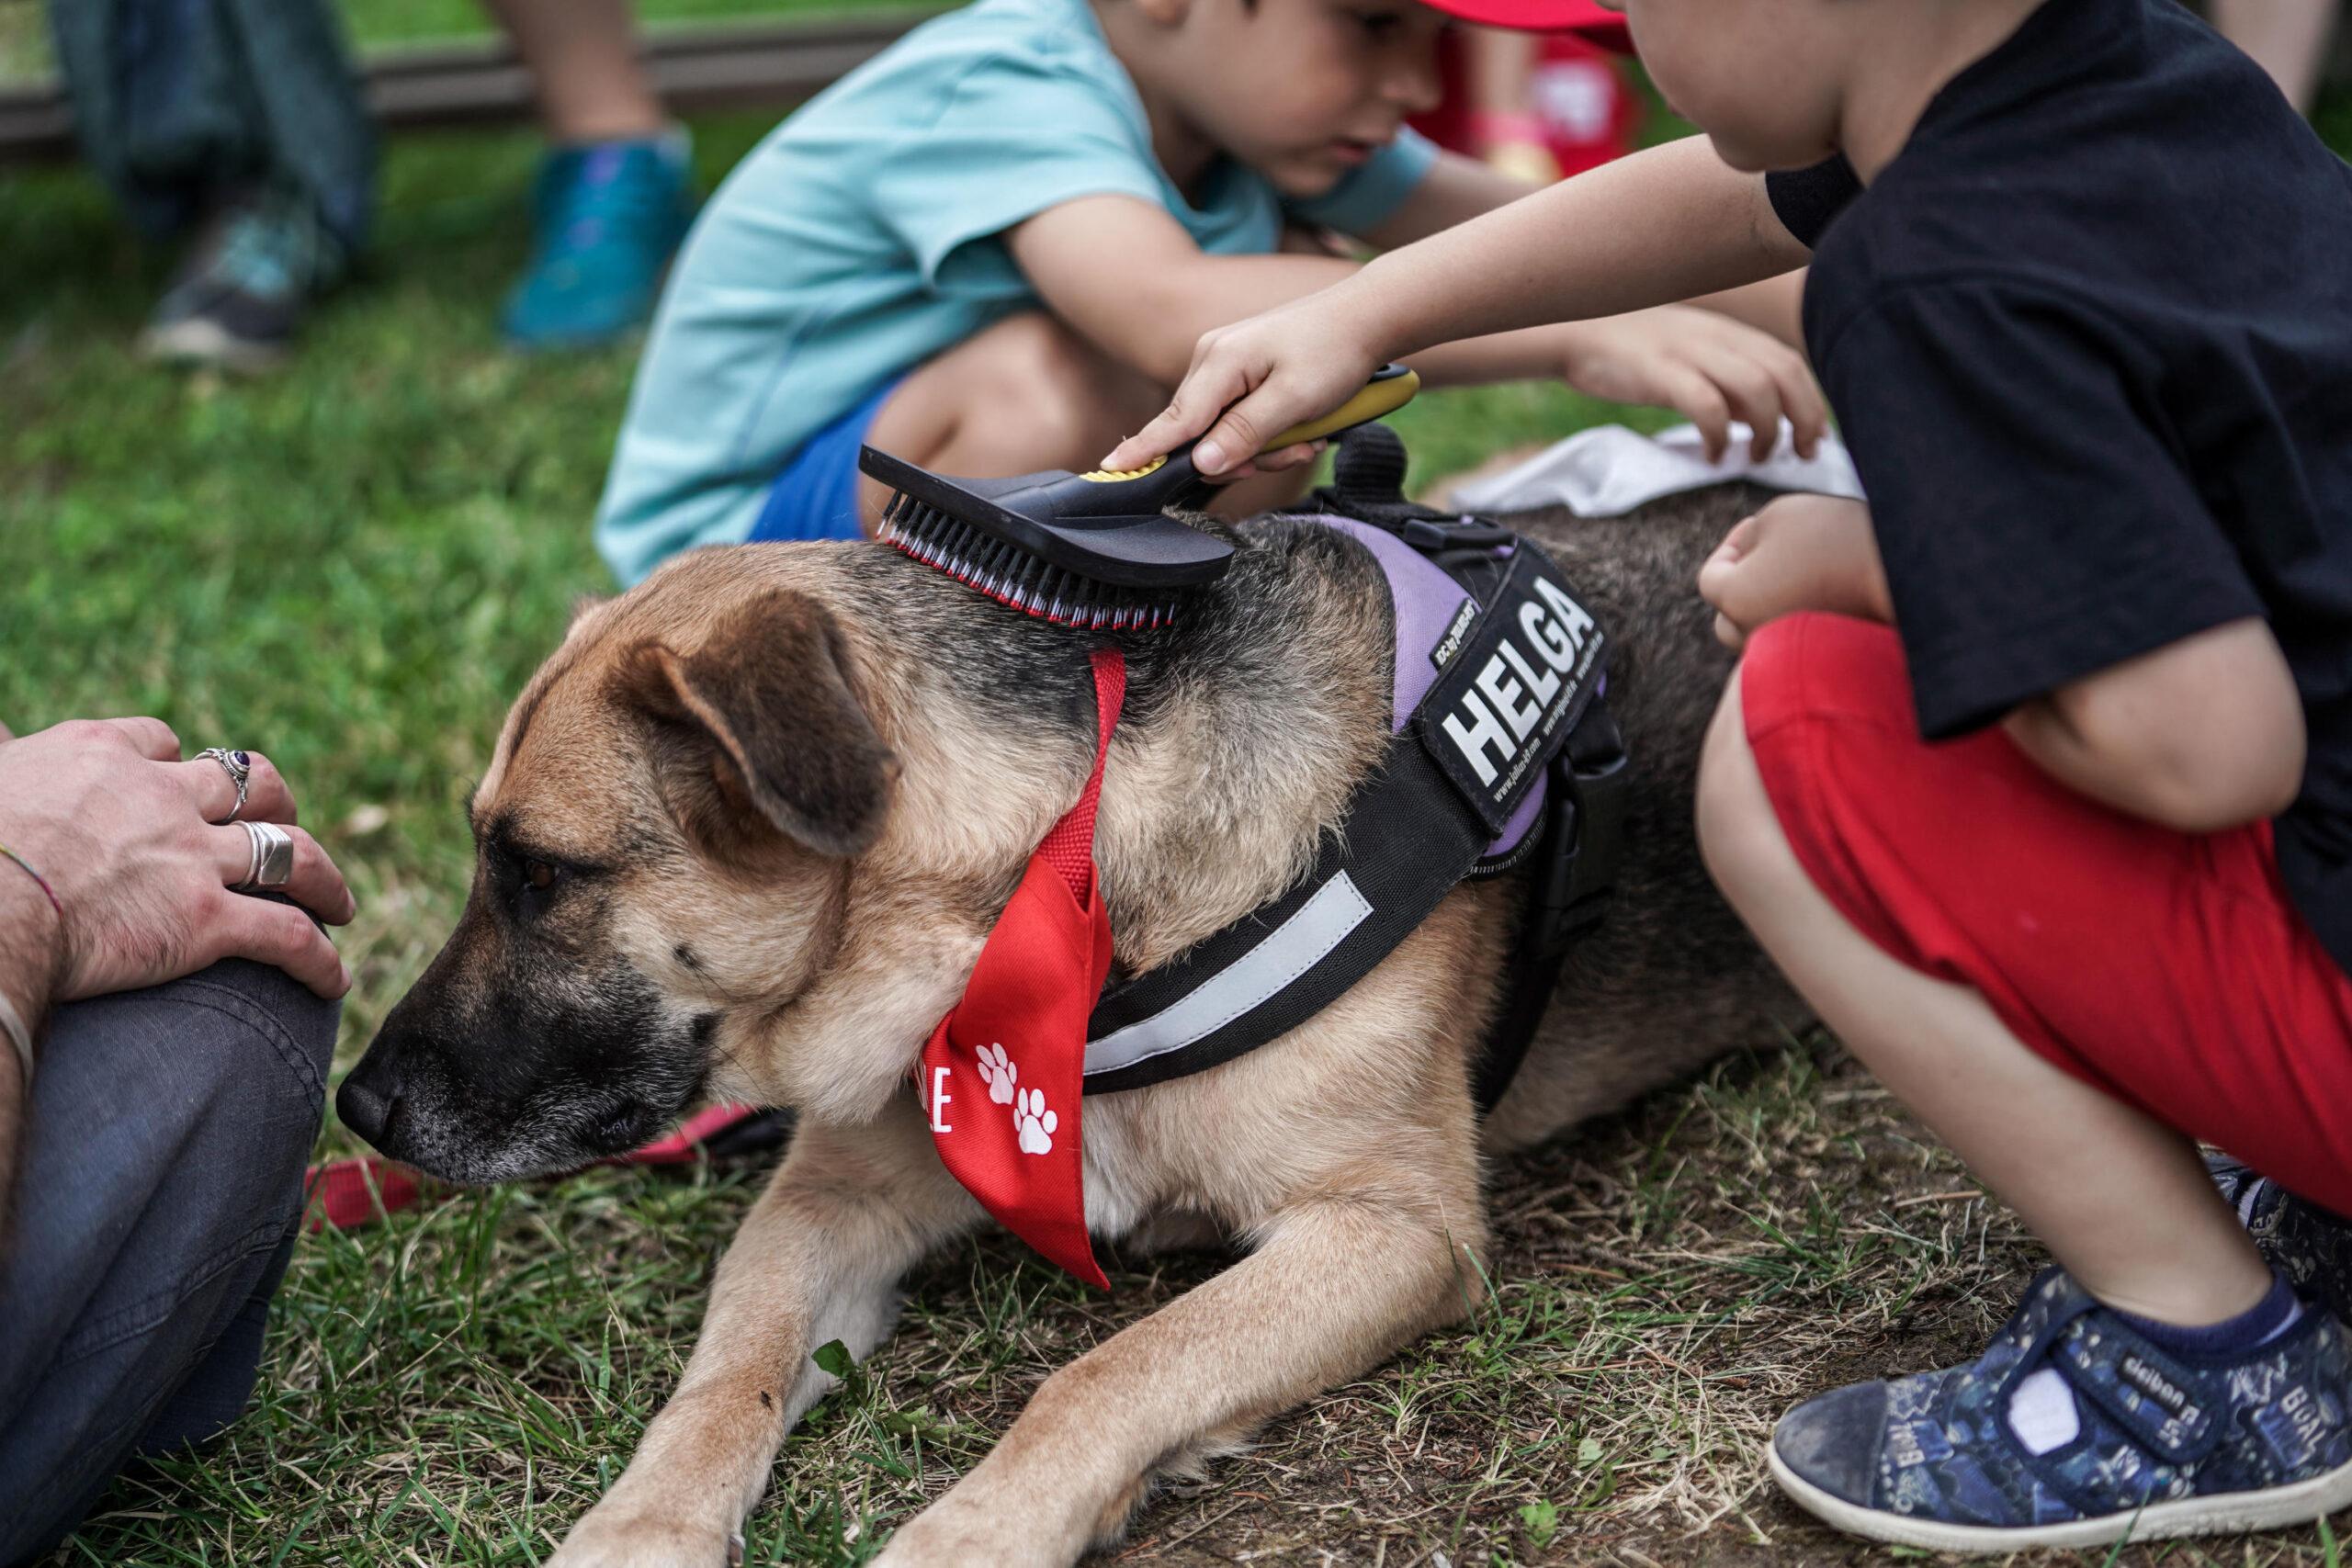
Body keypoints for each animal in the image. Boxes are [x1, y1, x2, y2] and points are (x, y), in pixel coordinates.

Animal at [336, 484, 1796, 1561]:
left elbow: (1112, 1370)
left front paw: (969, 1534)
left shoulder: (1393, 1230)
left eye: (539, 873)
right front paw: (640, 1525)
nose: (356, 1107)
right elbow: (722, 1381)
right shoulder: (827, 1199)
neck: (1064, 889)